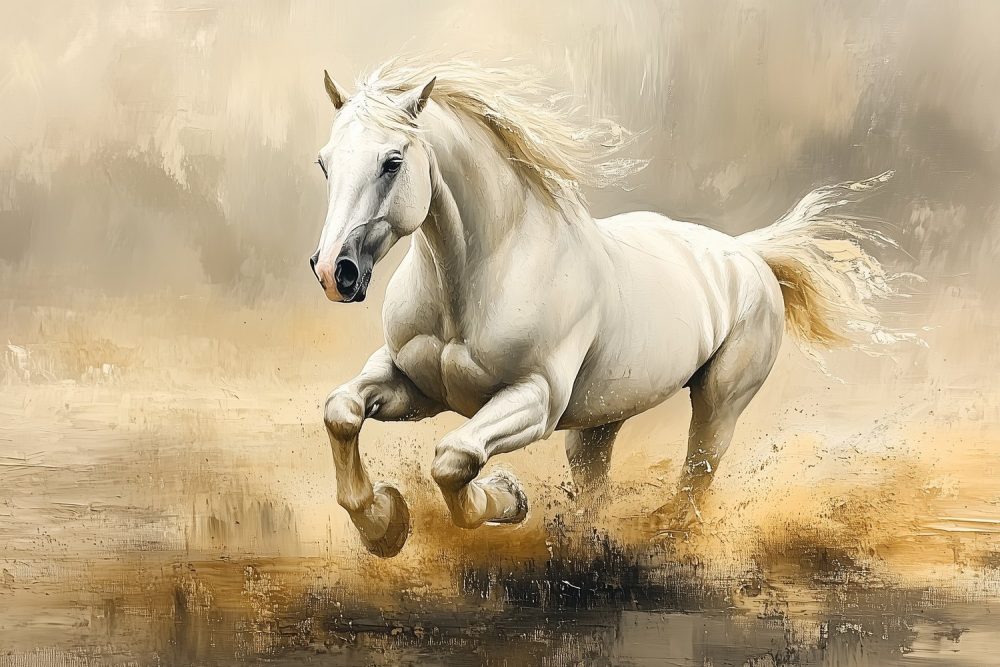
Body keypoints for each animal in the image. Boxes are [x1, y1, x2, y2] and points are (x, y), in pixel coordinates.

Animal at [308, 59, 909, 557]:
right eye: (324, 163)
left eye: (392, 162)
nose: (335, 271)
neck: (484, 275)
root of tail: (749, 254)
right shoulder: (415, 384)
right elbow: (342, 411)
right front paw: (382, 522)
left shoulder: (536, 401)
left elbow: (455, 459)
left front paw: (506, 496)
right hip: (599, 423)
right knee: (596, 488)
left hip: (719, 403)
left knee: (697, 477)